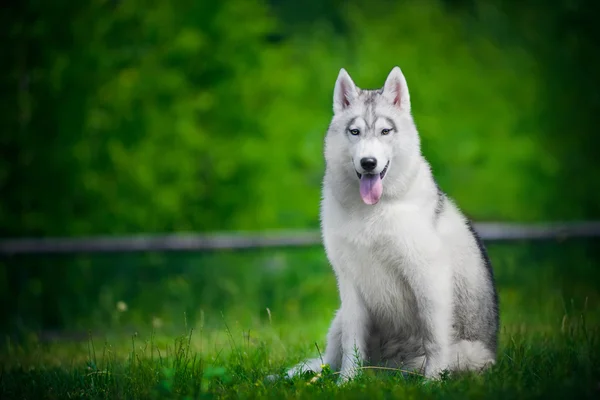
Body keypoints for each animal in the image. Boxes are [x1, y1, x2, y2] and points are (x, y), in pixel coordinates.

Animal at [286, 67, 496, 382]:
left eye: (386, 131)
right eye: (355, 131)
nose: (368, 163)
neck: (371, 212)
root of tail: (387, 368)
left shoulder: (429, 277)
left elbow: (435, 340)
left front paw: (432, 383)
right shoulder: (349, 283)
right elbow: (352, 346)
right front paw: (346, 383)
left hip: (470, 353)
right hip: (339, 319)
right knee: (327, 361)